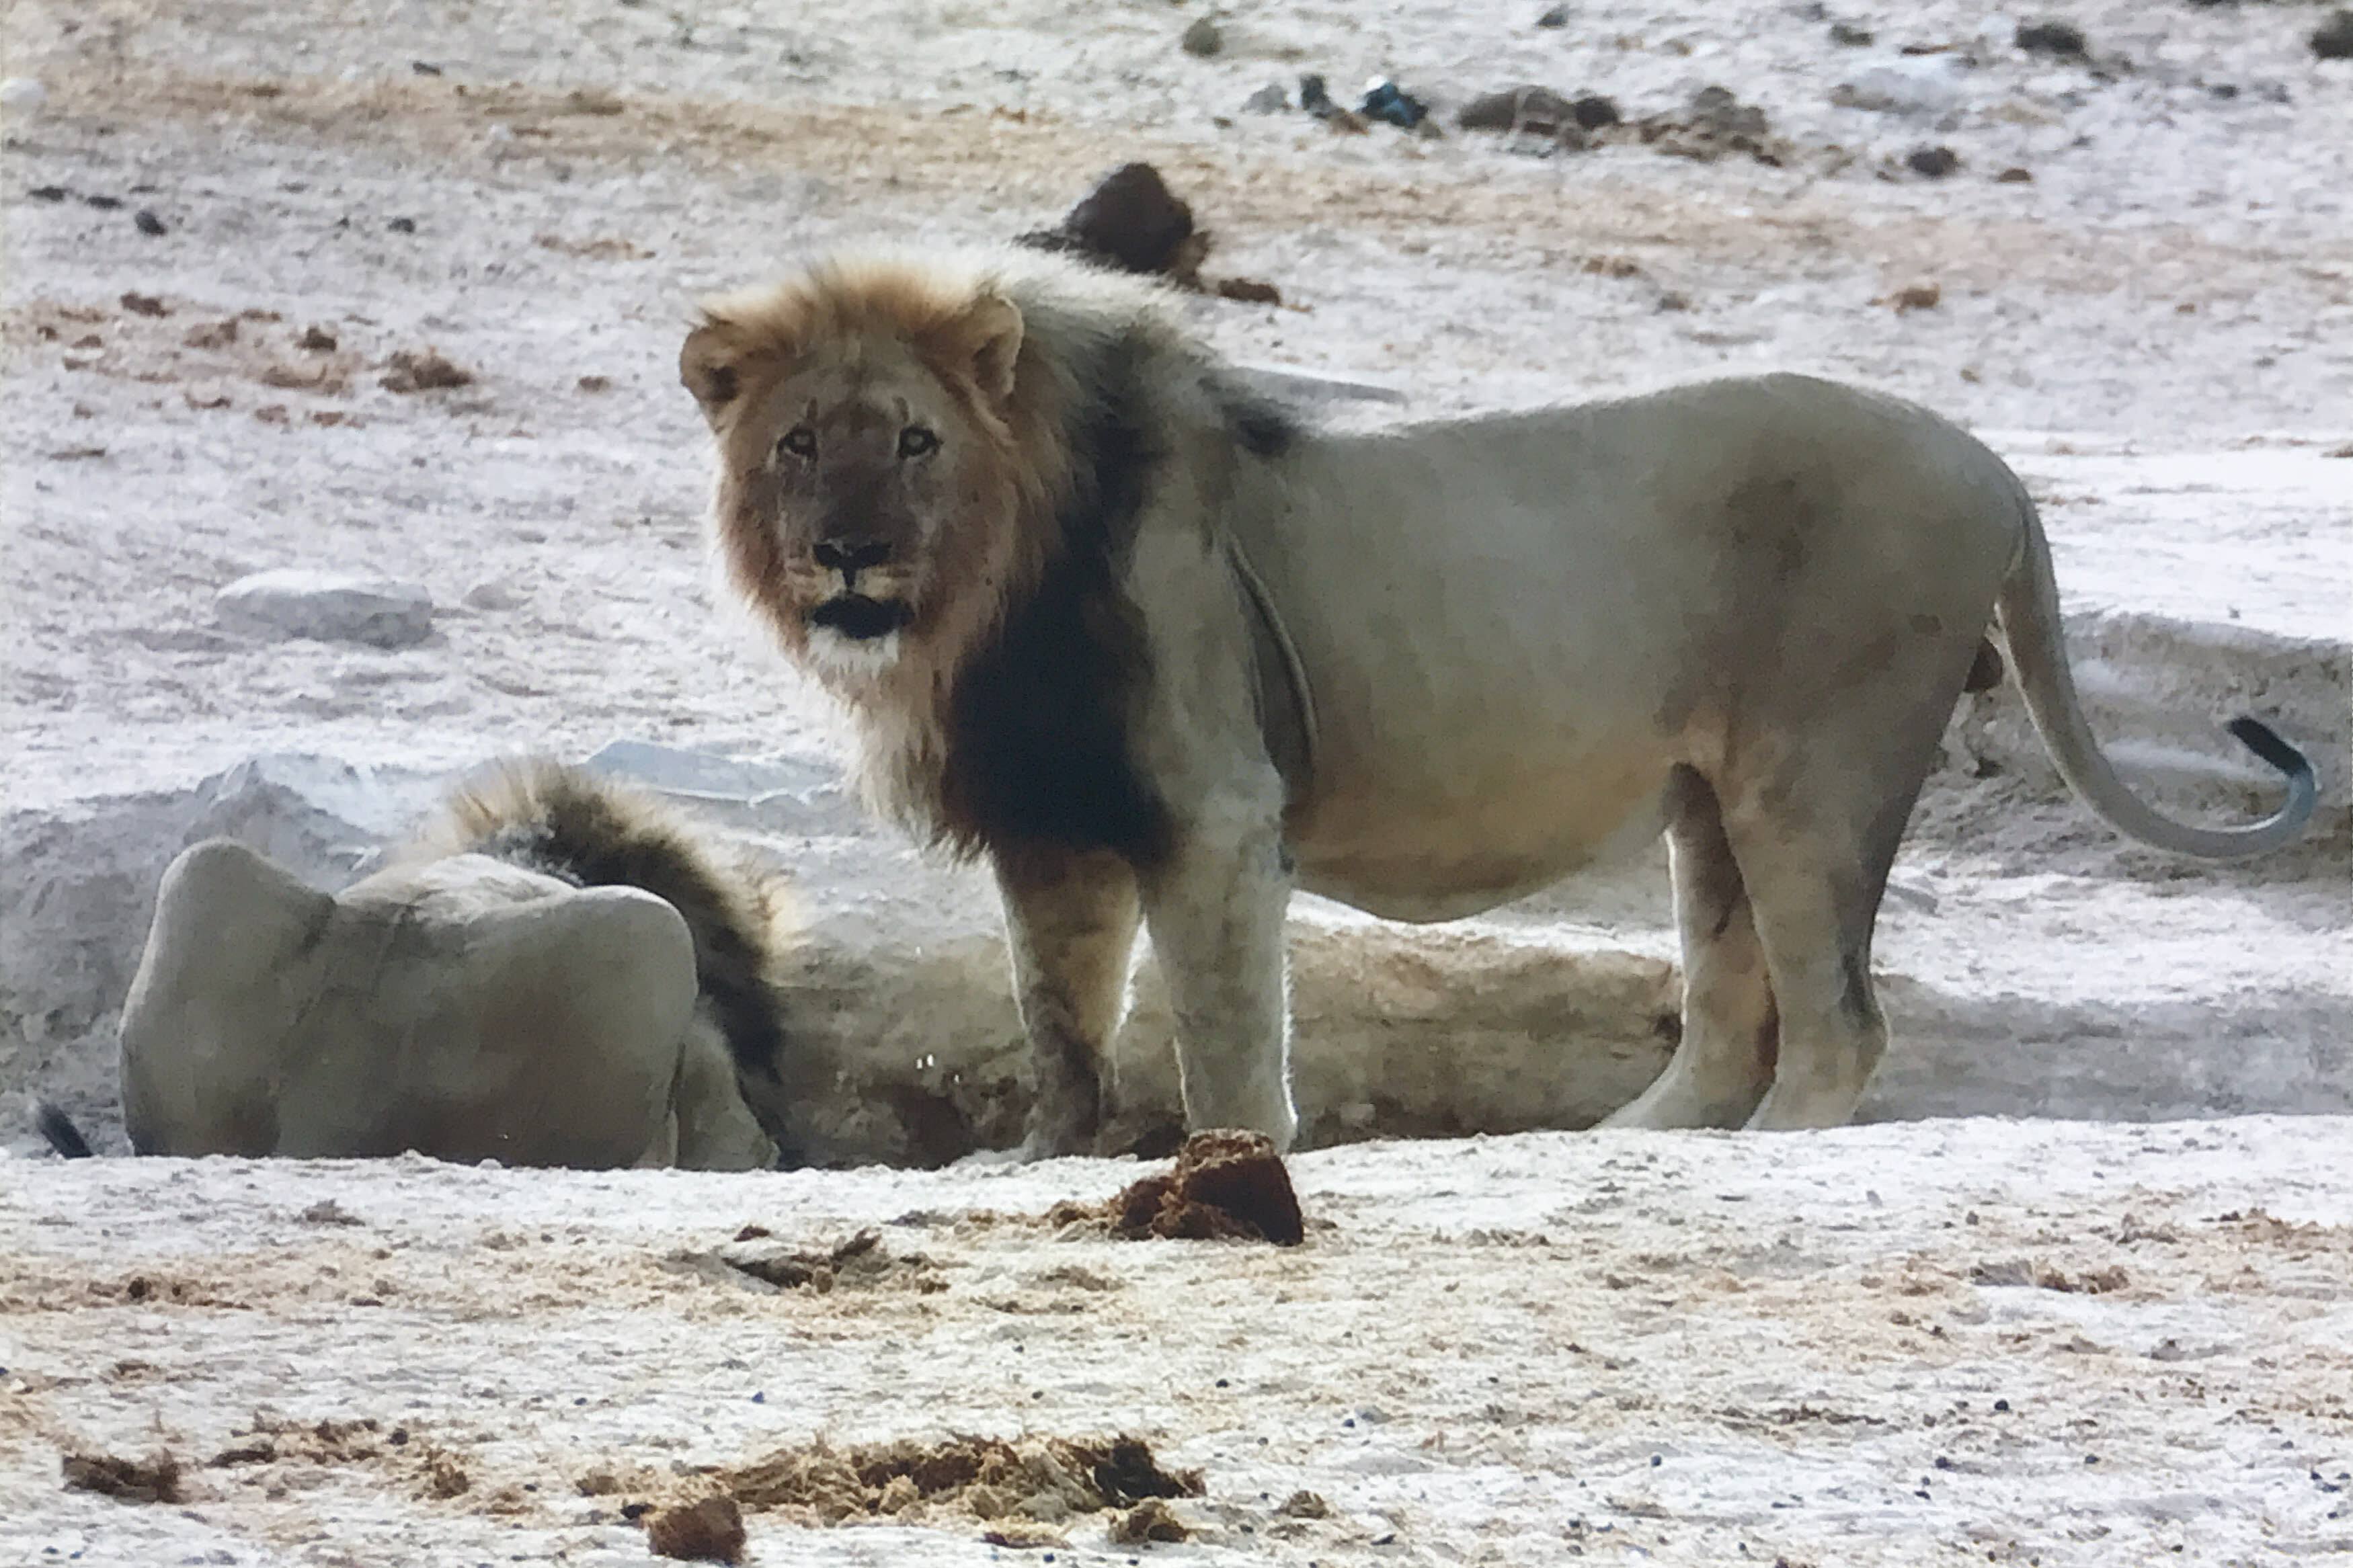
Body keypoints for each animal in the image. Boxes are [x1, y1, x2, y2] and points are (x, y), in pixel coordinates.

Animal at [679, 250, 2316, 1156]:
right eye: (799, 444)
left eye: (912, 441)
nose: (846, 553)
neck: (985, 600)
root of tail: (1996, 466)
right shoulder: (1051, 818)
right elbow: (1058, 1016)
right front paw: (1040, 1154)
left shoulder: (1217, 804)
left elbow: (1218, 1018)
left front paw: (1228, 1157)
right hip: (1716, 799)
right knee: (1730, 1003)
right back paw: (1633, 1145)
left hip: (1822, 767)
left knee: (1839, 1022)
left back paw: (1761, 1150)